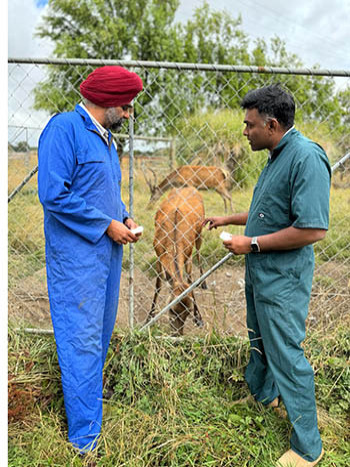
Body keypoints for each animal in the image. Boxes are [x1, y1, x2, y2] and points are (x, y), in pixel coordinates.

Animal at [146, 186, 206, 336]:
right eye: (171, 310)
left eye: (188, 312)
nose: (177, 335)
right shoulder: (158, 253)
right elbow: (158, 284)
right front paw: (150, 317)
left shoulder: (187, 254)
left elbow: (190, 281)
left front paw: (199, 318)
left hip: (200, 232)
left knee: (198, 252)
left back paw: (203, 282)